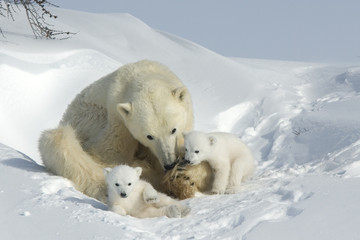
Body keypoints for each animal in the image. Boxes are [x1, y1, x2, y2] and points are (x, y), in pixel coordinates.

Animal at [38, 59, 207, 202]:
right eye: (149, 136)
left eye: (173, 130)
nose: (169, 164)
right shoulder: (117, 119)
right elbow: (109, 155)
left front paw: (183, 175)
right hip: (87, 119)